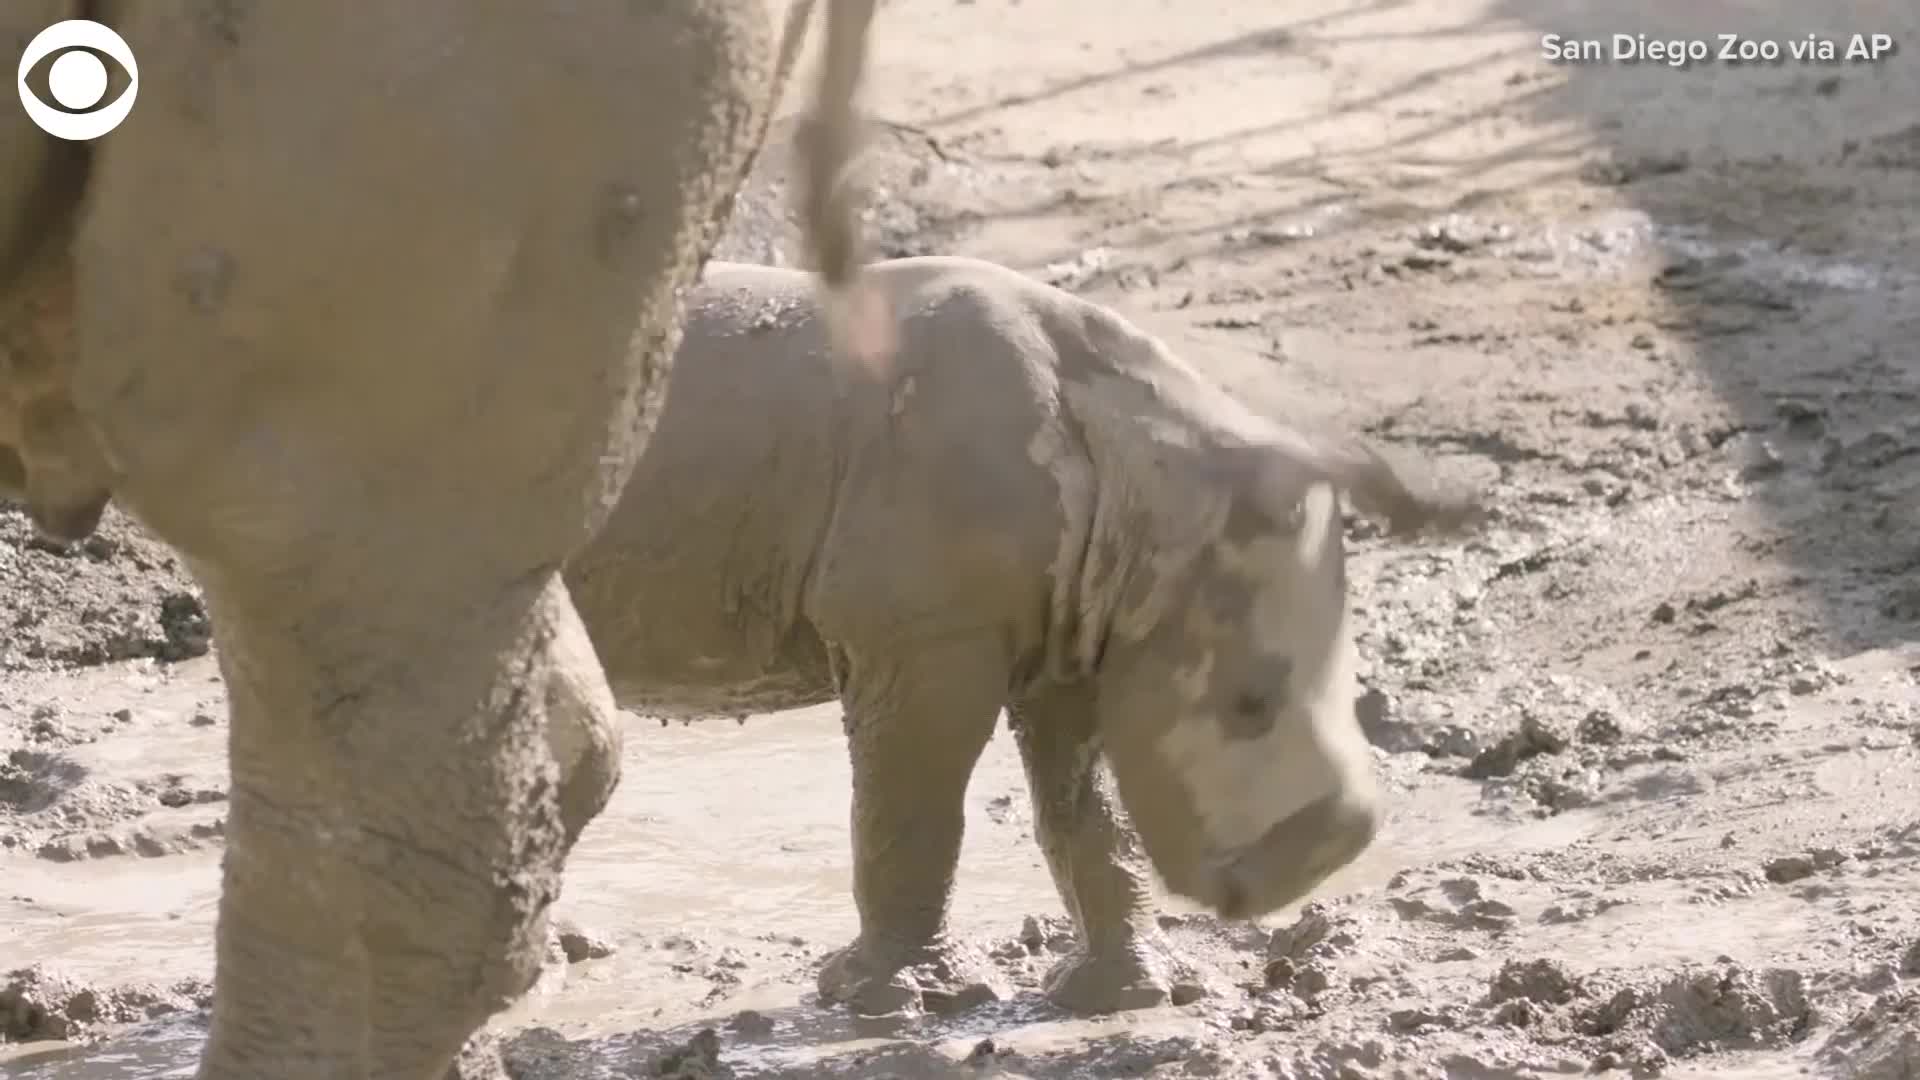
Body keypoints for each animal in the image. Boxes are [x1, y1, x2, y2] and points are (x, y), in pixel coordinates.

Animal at [564, 255, 1482, 1016]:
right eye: (1249, 704)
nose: (1333, 848)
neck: (1148, 467)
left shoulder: (1079, 619)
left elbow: (1084, 807)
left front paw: (1138, 994)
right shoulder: (924, 631)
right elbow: (914, 808)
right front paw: (888, 1002)